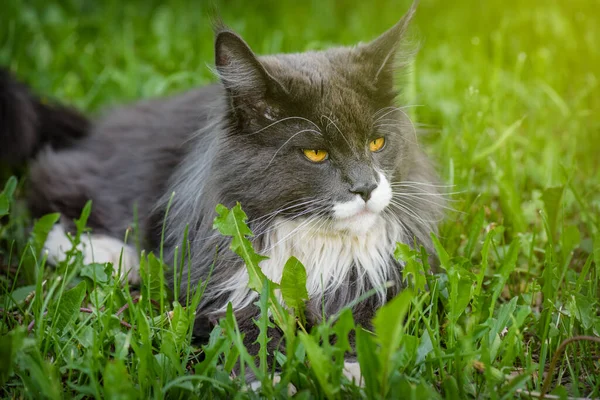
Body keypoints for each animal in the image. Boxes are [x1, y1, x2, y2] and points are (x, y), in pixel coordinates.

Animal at [0, 3, 440, 352]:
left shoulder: (381, 281)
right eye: (316, 153)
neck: (315, 246)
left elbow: (363, 328)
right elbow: (252, 341)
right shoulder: (230, 293)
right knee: (48, 191)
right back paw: (111, 256)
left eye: (377, 143)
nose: (365, 187)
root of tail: (92, 128)